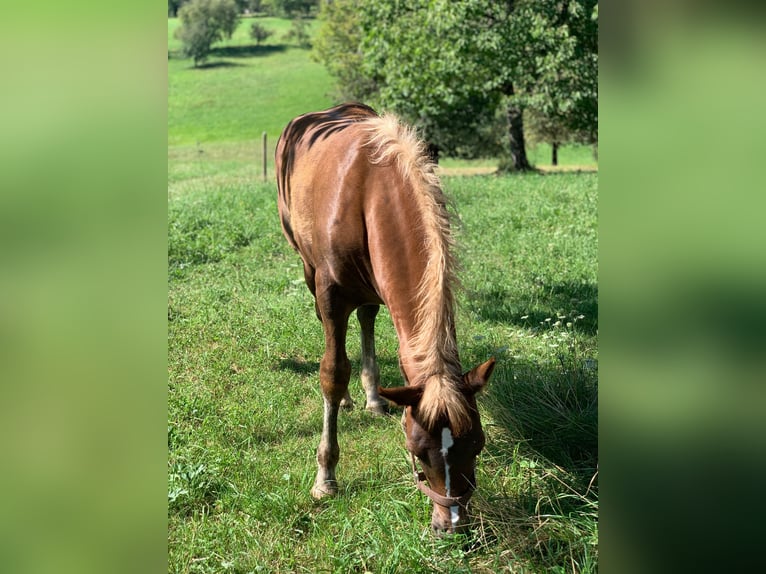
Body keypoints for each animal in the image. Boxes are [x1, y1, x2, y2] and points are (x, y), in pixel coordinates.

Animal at [275, 103, 495, 533]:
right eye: (417, 449)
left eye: (477, 444)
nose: (452, 523)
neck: (372, 191)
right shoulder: (330, 292)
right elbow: (332, 370)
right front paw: (326, 476)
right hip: (308, 267)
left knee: (365, 321)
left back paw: (374, 397)